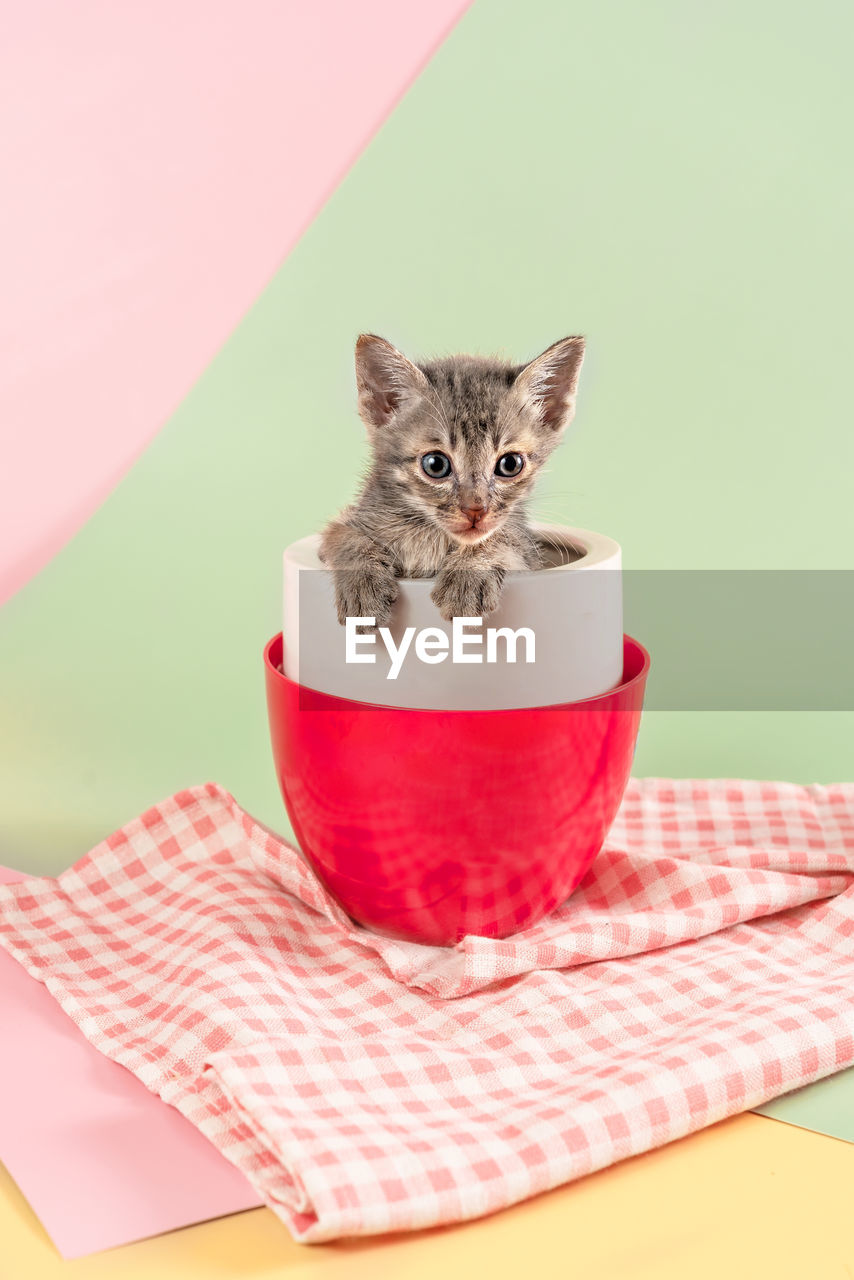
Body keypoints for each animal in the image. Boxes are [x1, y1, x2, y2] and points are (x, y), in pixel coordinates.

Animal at [320, 335, 588, 624]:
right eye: (435, 465)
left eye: (510, 465)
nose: (476, 510)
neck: (429, 534)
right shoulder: (349, 520)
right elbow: (343, 537)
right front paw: (362, 585)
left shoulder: (525, 550)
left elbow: (504, 536)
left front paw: (468, 576)